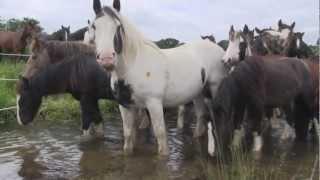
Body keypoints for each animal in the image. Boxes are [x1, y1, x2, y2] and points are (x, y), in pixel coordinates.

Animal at [89, 0, 226, 155]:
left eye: (118, 27)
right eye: (94, 26)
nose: (106, 59)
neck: (133, 67)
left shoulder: (154, 104)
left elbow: (160, 136)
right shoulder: (125, 106)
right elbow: (128, 136)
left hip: (215, 88)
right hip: (198, 93)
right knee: (201, 116)